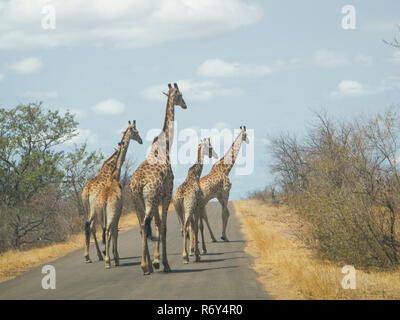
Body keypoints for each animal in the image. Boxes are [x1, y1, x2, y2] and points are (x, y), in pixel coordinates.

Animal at [83, 121, 142, 264]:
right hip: (95, 210)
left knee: (89, 226)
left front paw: (107, 252)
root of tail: (86, 192)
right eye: (136, 132)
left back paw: (91, 256)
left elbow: (106, 228)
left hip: (88, 209)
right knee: (92, 226)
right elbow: (110, 228)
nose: (141, 140)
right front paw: (111, 253)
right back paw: (94, 256)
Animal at [130, 82, 188, 276]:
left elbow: (155, 225)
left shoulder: (157, 200)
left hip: (138, 202)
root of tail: (138, 185)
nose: (185, 105)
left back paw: (145, 266)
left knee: (142, 227)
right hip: (149, 200)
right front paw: (163, 263)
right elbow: (162, 226)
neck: (165, 146)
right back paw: (146, 266)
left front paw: (154, 262)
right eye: (180, 95)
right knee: (146, 225)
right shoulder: (166, 195)